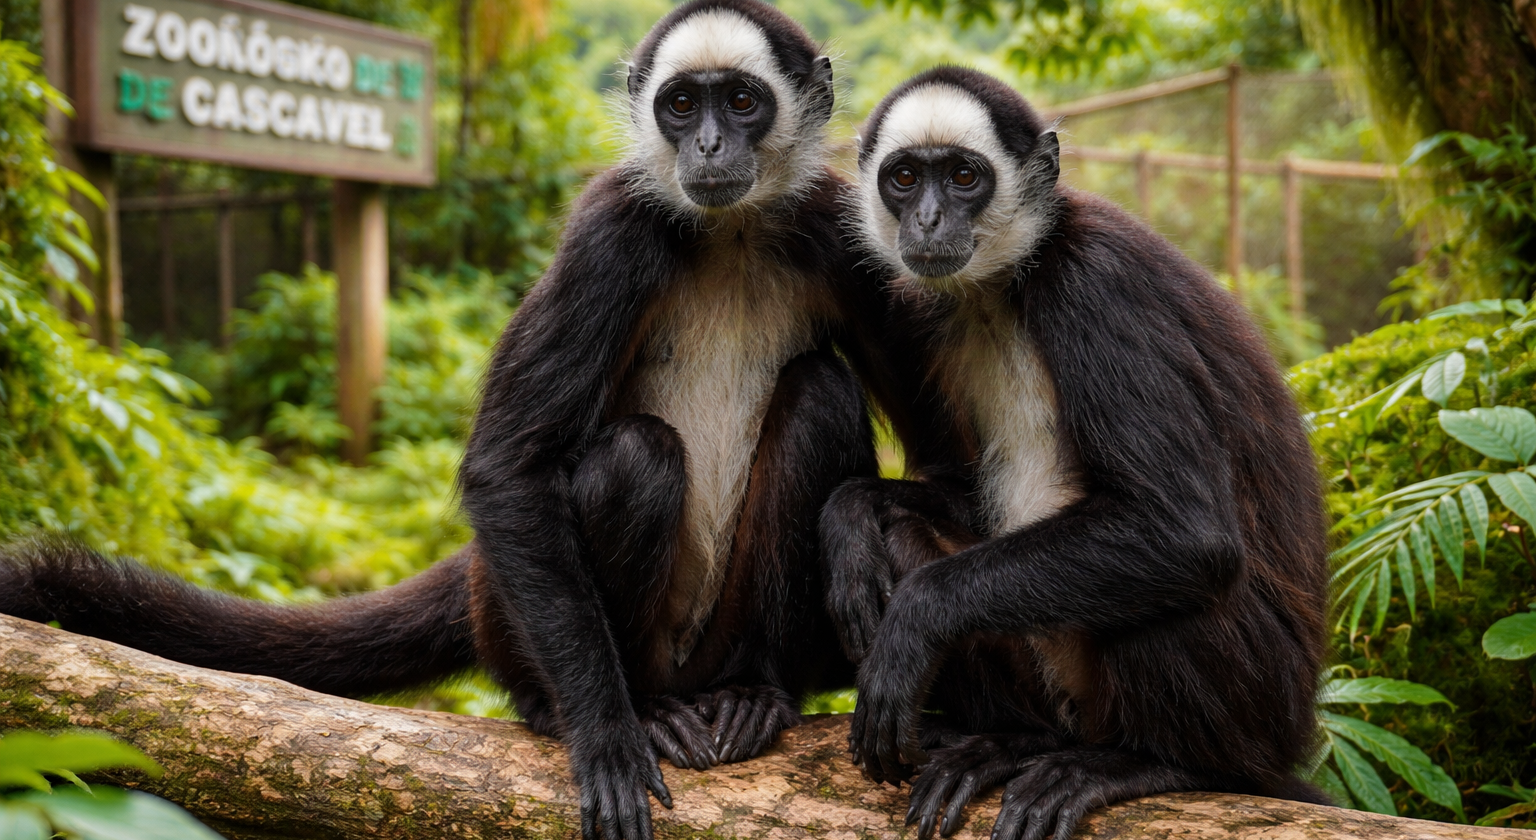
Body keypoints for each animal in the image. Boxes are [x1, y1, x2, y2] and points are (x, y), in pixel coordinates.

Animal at [0, 4, 886, 838]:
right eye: (679, 105)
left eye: (740, 102)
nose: (705, 146)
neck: (728, 230)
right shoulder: (609, 230)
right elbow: (506, 468)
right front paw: (603, 733)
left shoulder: (837, 223)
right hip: (516, 621)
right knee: (638, 457)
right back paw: (609, 706)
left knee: (820, 395)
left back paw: (756, 689)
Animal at [818, 66, 1332, 840]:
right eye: (904, 179)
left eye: (963, 177)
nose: (929, 221)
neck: (1009, 283)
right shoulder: (924, 307)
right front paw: (849, 516)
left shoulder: (1097, 282)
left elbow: (1188, 533)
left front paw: (912, 619)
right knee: (904, 532)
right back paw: (1017, 742)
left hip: (1262, 702)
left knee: (1180, 580)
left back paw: (1157, 765)